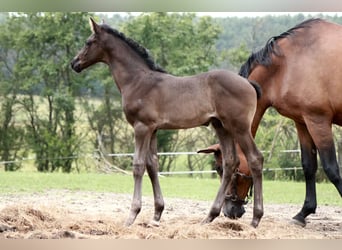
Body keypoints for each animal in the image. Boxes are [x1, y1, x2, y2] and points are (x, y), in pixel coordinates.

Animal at [71, 18, 264, 227]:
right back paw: (209, 217)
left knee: (255, 159)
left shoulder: (141, 127)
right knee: (230, 162)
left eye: (88, 42)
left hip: (239, 127)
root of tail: (248, 84)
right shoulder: (153, 129)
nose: (74, 63)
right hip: (221, 127)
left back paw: (255, 219)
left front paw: (132, 215)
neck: (137, 80)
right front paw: (157, 214)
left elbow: (138, 166)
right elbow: (152, 166)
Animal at [235, 17, 342, 225]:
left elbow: (331, 168)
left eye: (224, 168)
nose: (230, 211)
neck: (287, 65)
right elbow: (308, 166)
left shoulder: (318, 121)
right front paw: (304, 212)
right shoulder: (303, 121)